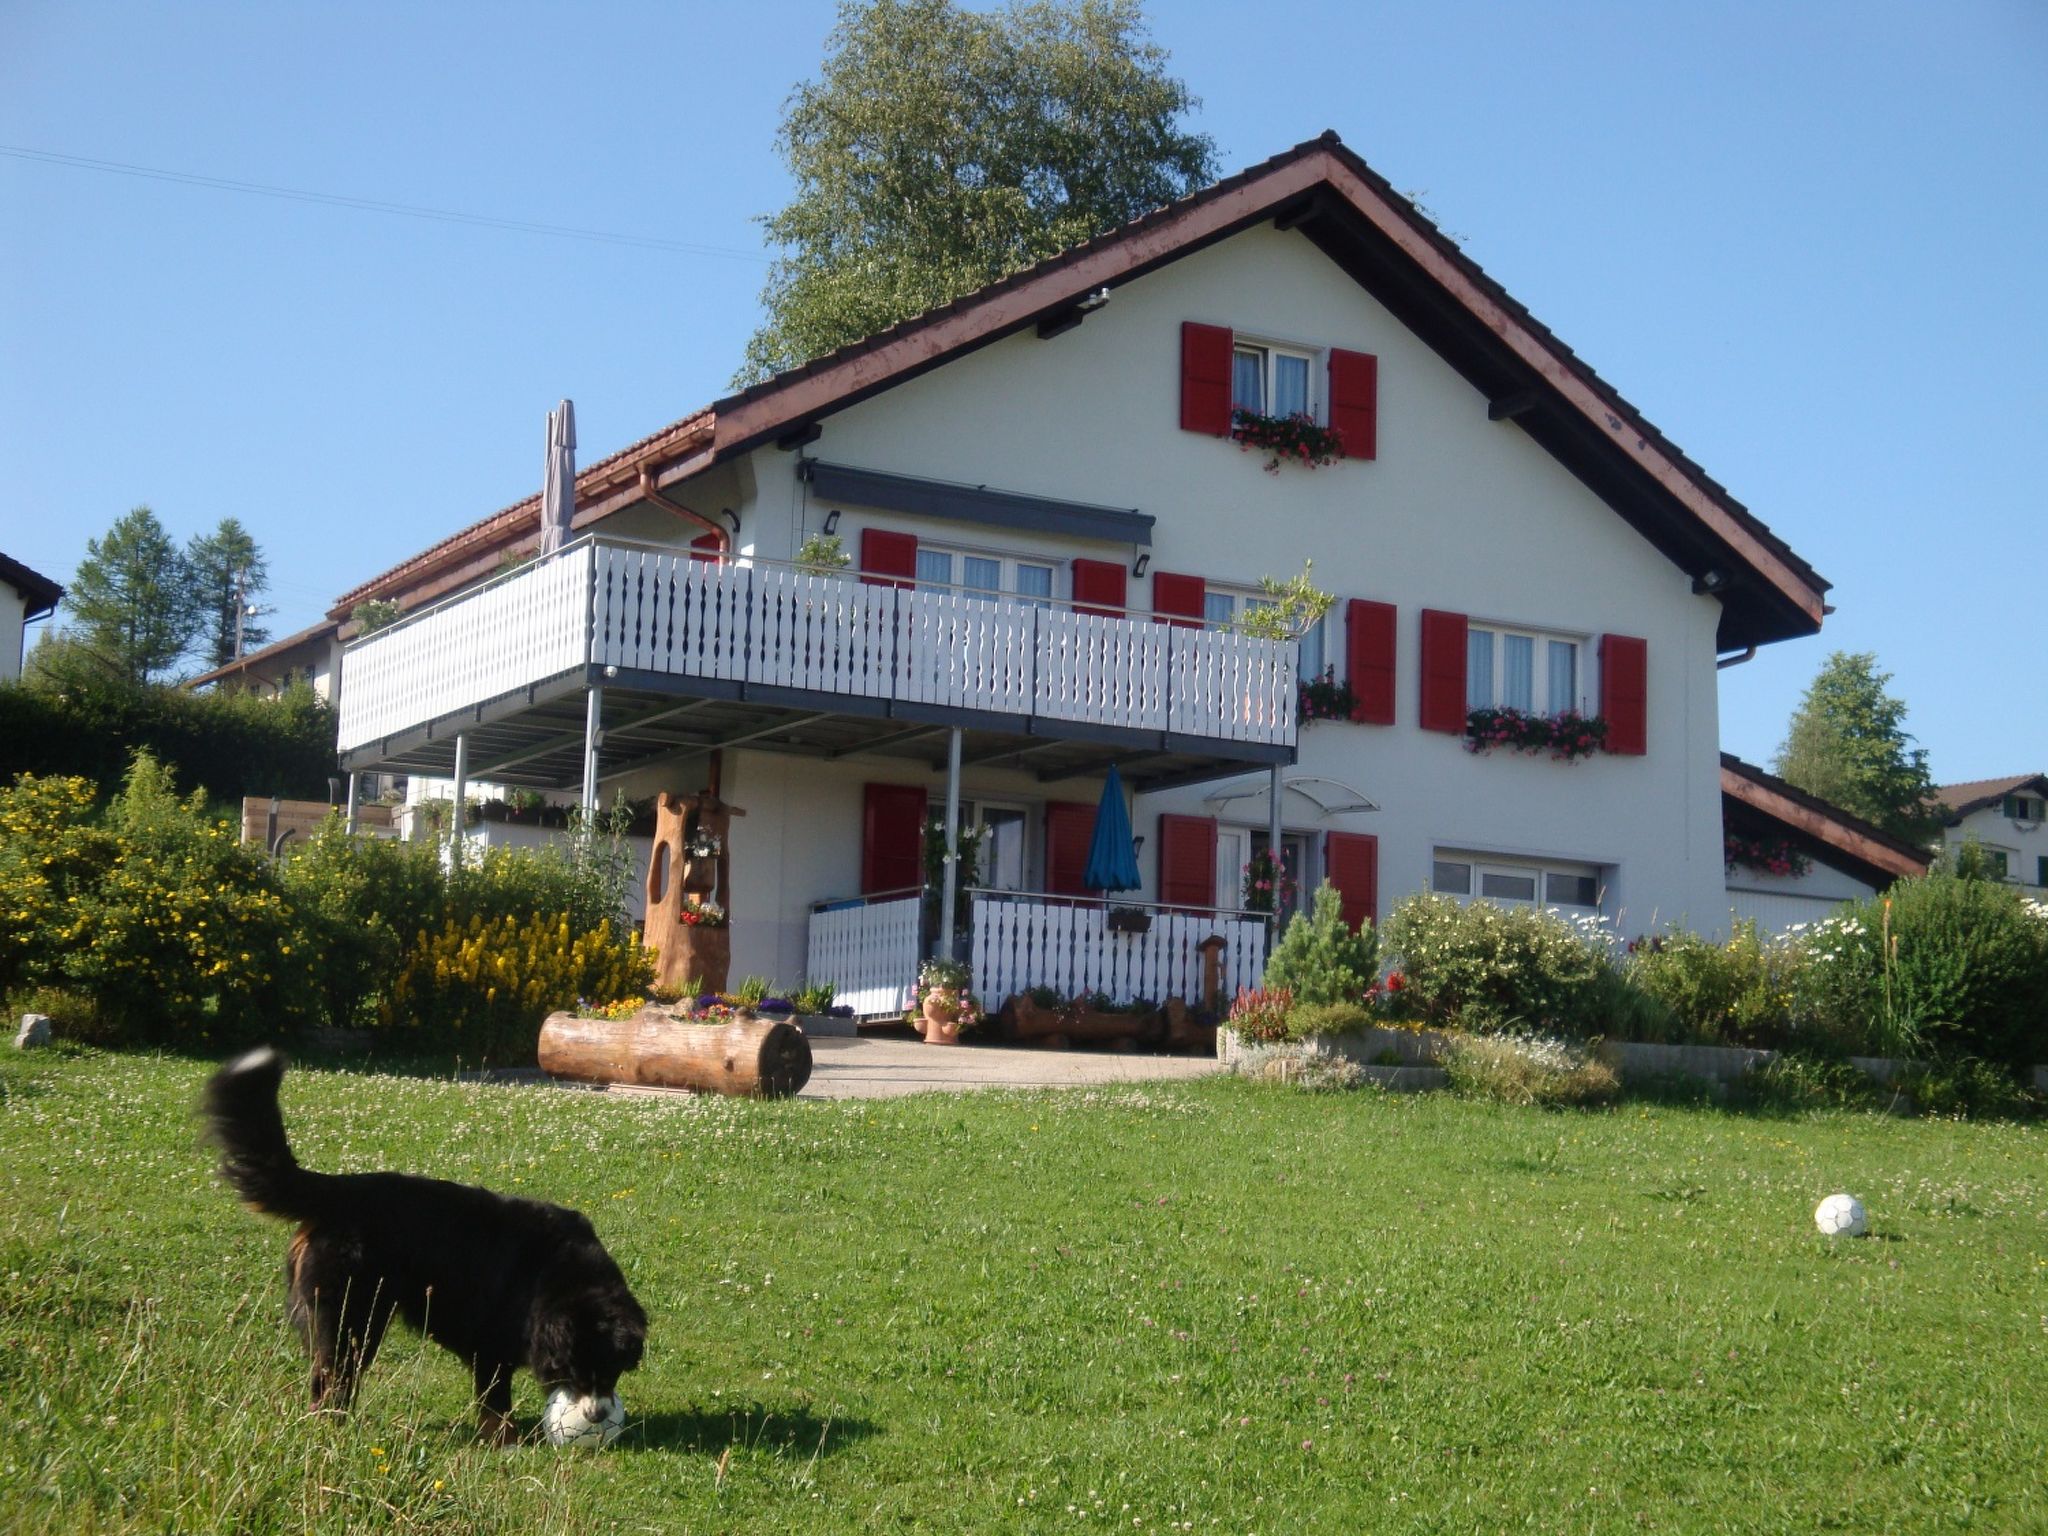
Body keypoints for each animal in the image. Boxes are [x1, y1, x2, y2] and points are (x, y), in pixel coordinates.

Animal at [202, 1048, 643, 1441]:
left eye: (612, 1369)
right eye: (577, 1370)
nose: (598, 1415)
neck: (553, 1273)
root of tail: (340, 1189)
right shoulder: (491, 1344)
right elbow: (494, 1401)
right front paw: (505, 1440)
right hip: (352, 1318)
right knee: (333, 1379)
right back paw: (333, 1428)